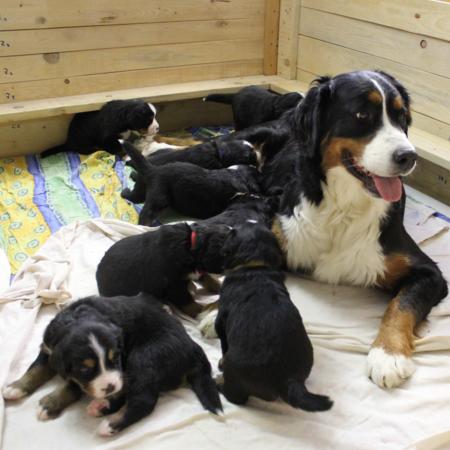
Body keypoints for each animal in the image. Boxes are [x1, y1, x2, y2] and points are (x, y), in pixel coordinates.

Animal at [2, 293, 222, 436]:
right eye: (85, 368)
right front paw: (16, 387)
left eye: (114, 358)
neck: (78, 319)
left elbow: (72, 386)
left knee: (143, 400)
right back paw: (102, 405)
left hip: (143, 358)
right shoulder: (49, 349)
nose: (109, 387)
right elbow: (35, 369)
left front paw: (49, 404)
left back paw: (109, 424)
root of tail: (194, 348)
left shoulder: (118, 364)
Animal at [96, 222, 231, 317]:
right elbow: (186, 300)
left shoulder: (196, 271)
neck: (189, 245)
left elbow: (209, 279)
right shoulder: (174, 284)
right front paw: (200, 311)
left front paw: (219, 287)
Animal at [215, 222, 332, 411]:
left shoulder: (220, 322)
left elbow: (223, 344)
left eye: (233, 231)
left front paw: (219, 362)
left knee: (236, 397)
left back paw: (219, 382)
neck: (257, 265)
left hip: (234, 368)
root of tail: (289, 380)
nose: (227, 228)